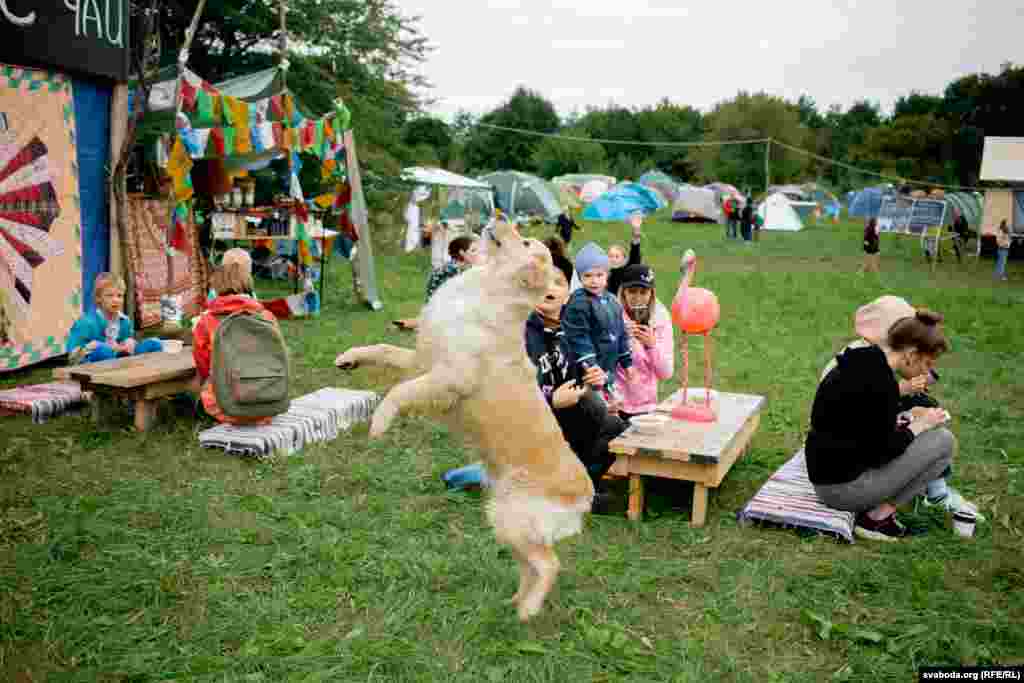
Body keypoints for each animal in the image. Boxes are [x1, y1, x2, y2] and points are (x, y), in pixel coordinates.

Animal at [335, 222, 593, 622]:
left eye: (525, 241)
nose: (497, 218)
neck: (488, 288)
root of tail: (586, 495)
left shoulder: (448, 378)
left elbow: (398, 391)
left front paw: (379, 423)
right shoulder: (421, 361)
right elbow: (383, 349)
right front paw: (349, 358)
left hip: (513, 519)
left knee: (550, 564)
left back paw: (528, 610)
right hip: (504, 522)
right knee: (530, 566)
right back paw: (515, 603)